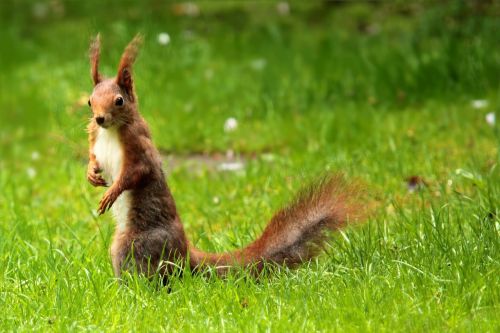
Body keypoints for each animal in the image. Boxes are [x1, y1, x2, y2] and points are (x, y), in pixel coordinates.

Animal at [86, 34, 364, 278]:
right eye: (90, 101)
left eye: (119, 101)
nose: (100, 118)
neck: (111, 131)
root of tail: (185, 254)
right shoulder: (95, 138)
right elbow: (94, 158)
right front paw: (92, 174)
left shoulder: (139, 147)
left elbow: (136, 172)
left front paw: (112, 192)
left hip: (135, 244)